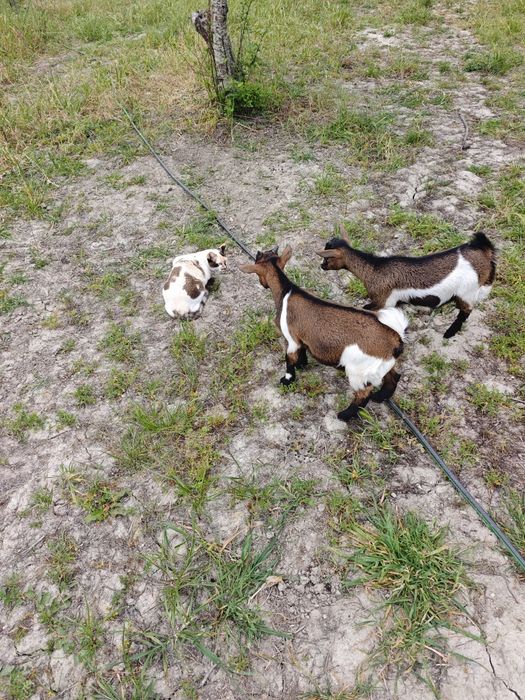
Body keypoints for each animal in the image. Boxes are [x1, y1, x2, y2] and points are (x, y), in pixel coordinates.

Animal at [240, 247, 408, 421]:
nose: (263, 284)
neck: (286, 291)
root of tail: (396, 340)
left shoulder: (291, 338)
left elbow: (289, 359)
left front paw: (287, 380)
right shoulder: (301, 338)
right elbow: (302, 351)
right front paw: (302, 365)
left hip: (358, 372)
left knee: (363, 394)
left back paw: (344, 415)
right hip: (381, 365)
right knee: (394, 377)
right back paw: (380, 397)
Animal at [317, 227, 495, 338]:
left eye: (327, 257)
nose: (321, 266)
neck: (374, 269)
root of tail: (484, 252)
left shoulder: (383, 300)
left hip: (467, 292)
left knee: (465, 312)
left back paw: (449, 333)